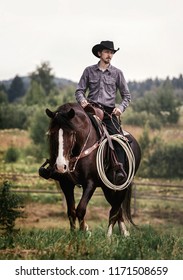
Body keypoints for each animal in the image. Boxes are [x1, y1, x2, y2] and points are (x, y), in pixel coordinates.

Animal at [39, 102, 141, 236]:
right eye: (52, 133)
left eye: (71, 133)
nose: (61, 166)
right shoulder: (66, 183)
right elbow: (71, 211)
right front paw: (74, 233)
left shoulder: (90, 183)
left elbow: (81, 209)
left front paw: (84, 231)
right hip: (107, 188)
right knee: (117, 208)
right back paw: (123, 232)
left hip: (121, 185)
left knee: (115, 209)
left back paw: (110, 236)